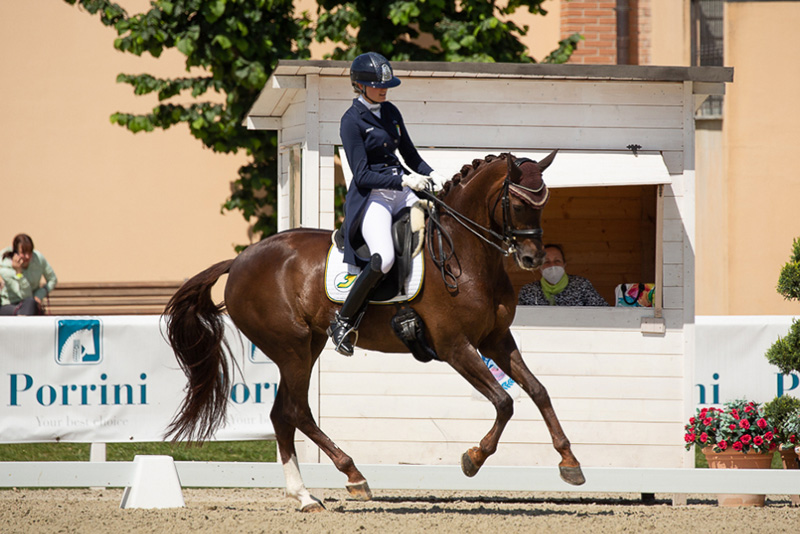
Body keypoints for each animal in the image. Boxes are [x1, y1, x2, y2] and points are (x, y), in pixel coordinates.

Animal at [166, 153, 584, 512]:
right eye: (518, 203)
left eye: (543, 202)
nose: (532, 258)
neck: (466, 256)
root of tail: (239, 260)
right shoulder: (455, 346)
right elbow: (504, 401)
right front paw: (473, 458)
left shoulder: (495, 341)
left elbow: (538, 391)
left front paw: (570, 462)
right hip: (292, 348)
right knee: (296, 410)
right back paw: (353, 476)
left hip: (309, 345)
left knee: (282, 414)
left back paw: (304, 496)